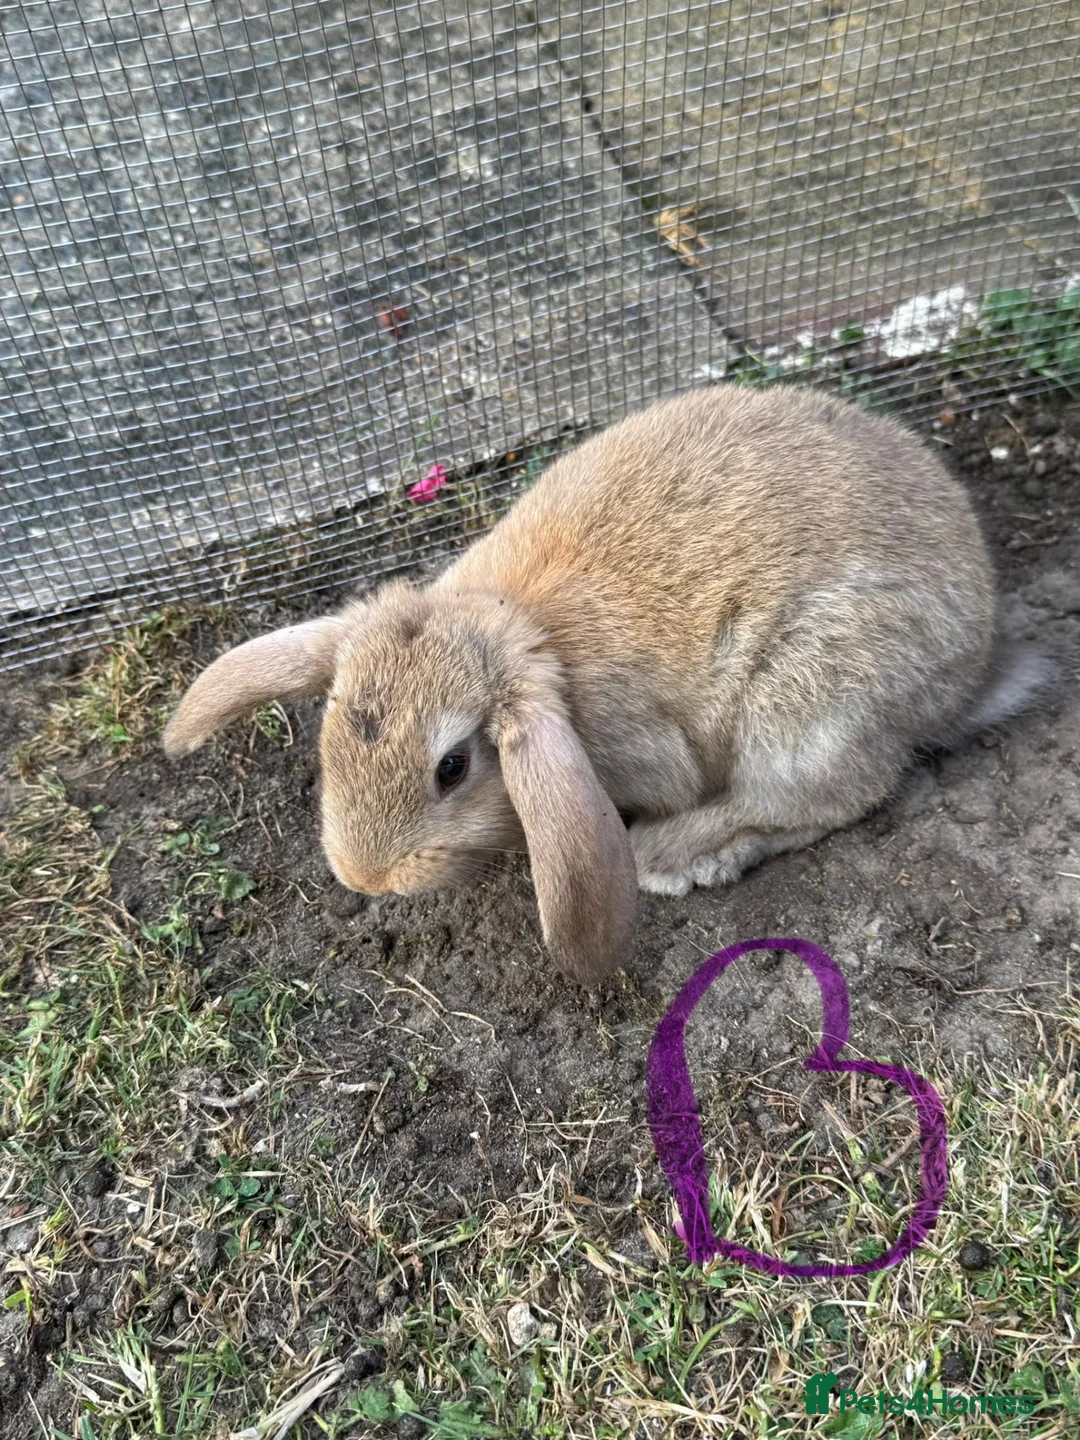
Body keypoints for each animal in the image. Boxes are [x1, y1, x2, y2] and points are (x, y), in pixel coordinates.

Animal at [163, 383, 1054, 985]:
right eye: (334, 729)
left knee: (831, 796)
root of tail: (975, 665)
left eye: (452, 767)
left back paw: (677, 854)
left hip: (812, 698)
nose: (366, 876)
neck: (517, 622)